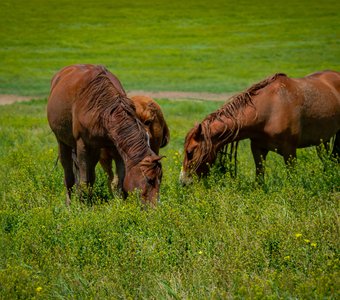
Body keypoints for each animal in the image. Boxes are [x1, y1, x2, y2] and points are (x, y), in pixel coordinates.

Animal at [47, 64, 163, 207]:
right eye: (148, 180)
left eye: (160, 179)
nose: (154, 207)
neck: (104, 111)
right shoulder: (82, 145)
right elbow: (84, 180)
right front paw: (83, 206)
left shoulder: (116, 148)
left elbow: (118, 181)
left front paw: (119, 204)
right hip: (63, 142)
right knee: (69, 174)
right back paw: (69, 203)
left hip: (95, 150)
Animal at [179, 70, 338, 184]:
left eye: (190, 152)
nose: (183, 182)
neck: (270, 110)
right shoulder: (258, 149)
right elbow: (259, 179)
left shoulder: (290, 151)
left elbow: (292, 177)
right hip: (322, 140)